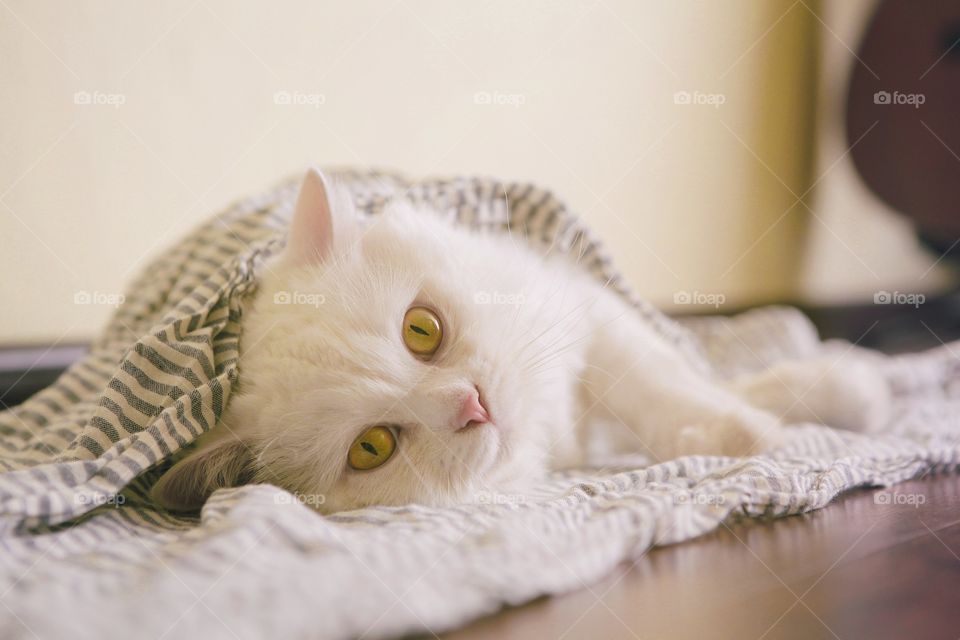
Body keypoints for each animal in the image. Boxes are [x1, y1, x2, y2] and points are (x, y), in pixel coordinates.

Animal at [152, 168, 892, 512]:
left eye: (421, 330)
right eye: (372, 448)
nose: (473, 405)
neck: (550, 430)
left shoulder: (585, 308)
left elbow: (669, 388)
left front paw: (803, 407)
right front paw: (756, 433)